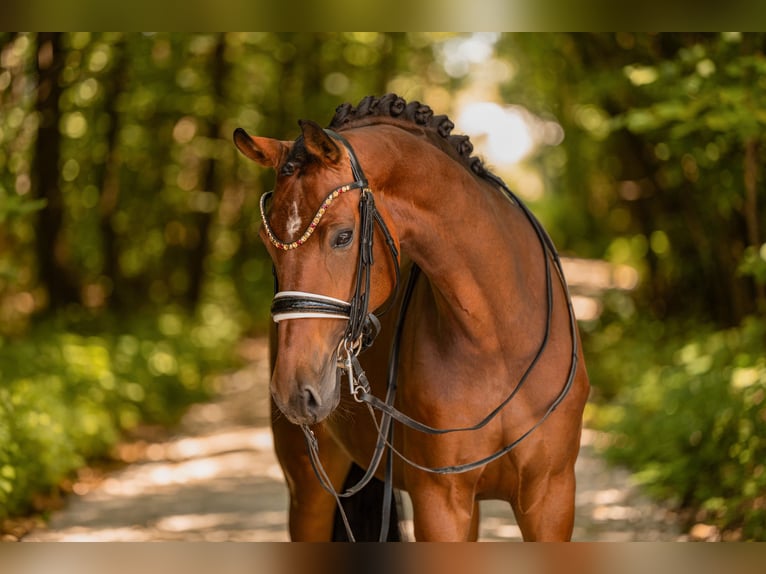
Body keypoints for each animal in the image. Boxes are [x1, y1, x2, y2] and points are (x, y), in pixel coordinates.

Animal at [233, 94, 590, 542]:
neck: (499, 342)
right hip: (309, 487)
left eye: (343, 236)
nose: (294, 392)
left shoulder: (550, 499)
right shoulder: (440, 503)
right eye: (267, 242)